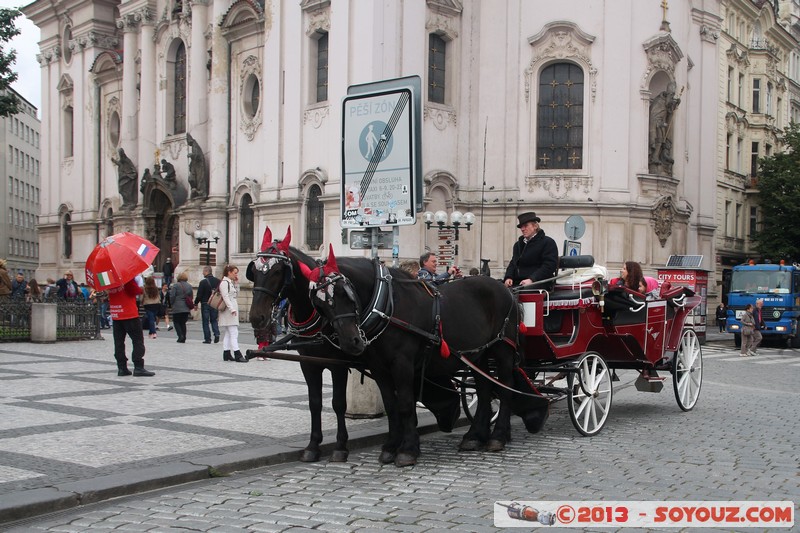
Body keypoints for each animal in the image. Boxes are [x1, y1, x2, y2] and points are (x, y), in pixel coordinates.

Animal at [250, 227, 462, 464]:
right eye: (254, 271)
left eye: (278, 271)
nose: (256, 317)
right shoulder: (309, 363)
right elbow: (315, 403)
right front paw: (313, 446)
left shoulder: (338, 364)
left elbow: (338, 403)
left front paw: (341, 447)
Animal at [296, 245, 552, 466]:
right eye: (318, 303)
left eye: (344, 292)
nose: (352, 342)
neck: (387, 304)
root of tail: (506, 289)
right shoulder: (379, 368)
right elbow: (391, 406)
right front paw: (390, 447)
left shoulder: (402, 364)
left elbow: (406, 405)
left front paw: (407, 450)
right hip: (478, 354)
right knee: (484, 389)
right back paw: (475, 436)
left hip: (502, 349)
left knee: (505, 386)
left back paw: (497, 436)